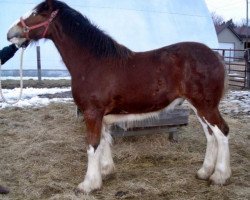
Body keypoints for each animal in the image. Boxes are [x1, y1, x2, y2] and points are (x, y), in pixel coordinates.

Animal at [6, 0, 231, 194]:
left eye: (37, 13)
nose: (10, 34)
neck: (92, 63)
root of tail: (216, 56)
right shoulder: (101, 116)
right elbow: (105, 141)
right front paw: (105, 172)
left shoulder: (92, 113)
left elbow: (92, 145)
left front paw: (88, 184)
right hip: (198, 107)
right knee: (210, 136)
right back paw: (204, 172)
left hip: (206, 106)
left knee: (222, 132)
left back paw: (219, 176)